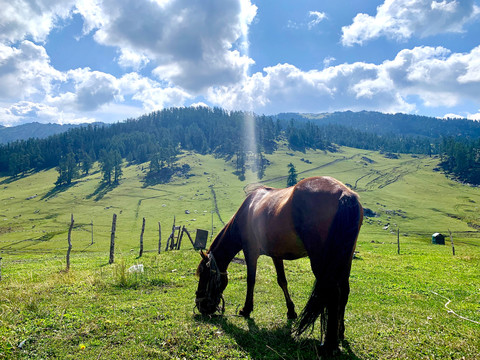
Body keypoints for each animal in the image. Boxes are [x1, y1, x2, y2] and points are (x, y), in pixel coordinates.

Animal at [196, 176, 364, 352]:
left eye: (204, 276)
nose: (200, 306)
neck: (248, 210)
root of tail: (344, 193)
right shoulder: (276, 255)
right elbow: (282, 281)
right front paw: (291, 311)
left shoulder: (250, 252)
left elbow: (251, 280)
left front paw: (246, 309)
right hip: (344, 260)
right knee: (344, 292)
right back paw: (340, 332)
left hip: (323, 263)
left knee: (333, 293)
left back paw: (330, 345)